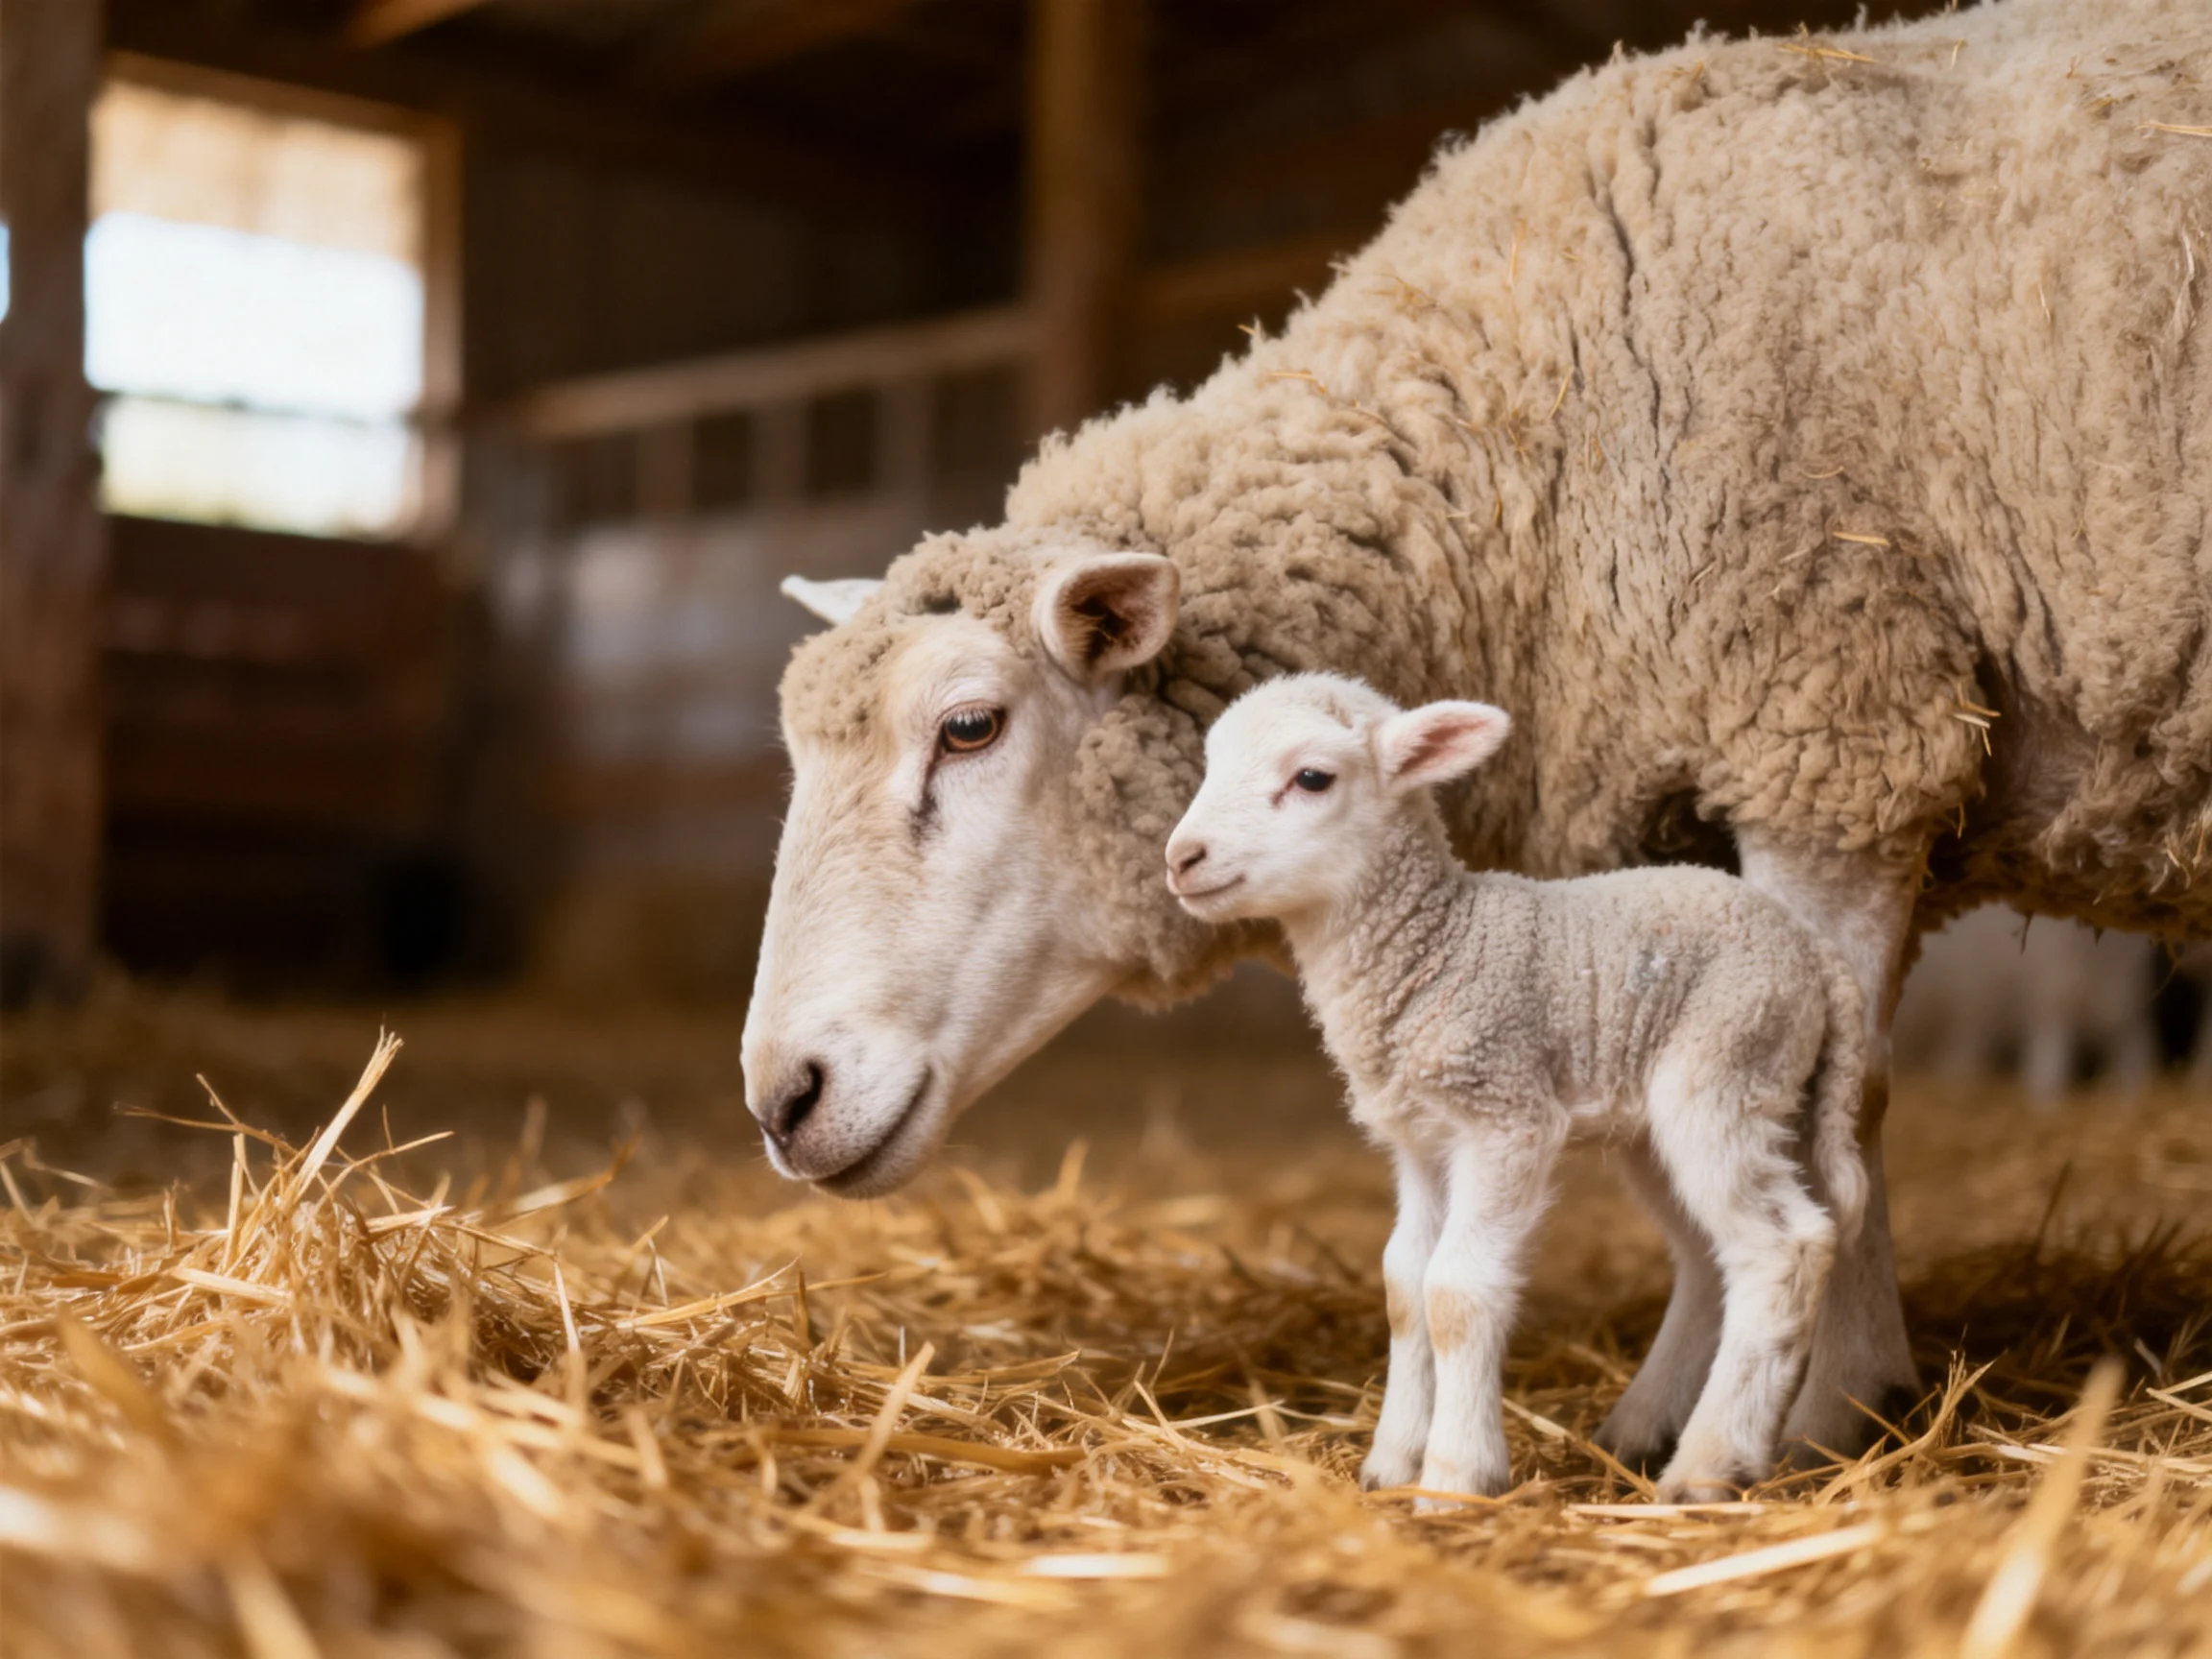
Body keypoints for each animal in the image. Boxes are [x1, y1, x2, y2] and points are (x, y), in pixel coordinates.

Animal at [1163, 673, 1868, 1502]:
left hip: (1729, 1068)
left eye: (1311, 778)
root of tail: (1814, 952)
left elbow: (1456, 1292)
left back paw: (1709, 1465)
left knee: (1783, 1246)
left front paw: (1455, 1473)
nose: (1181, 857)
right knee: (1709, 1255)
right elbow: (1404, 1285)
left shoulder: (1505, 1112)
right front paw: (1391, 1462)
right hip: (1664, 1123)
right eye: (1210, 765)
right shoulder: (1420, 1139)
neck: (1435, 943)